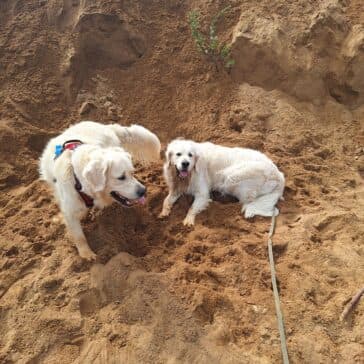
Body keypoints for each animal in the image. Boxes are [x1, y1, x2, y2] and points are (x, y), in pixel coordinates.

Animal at [38, 121, 161, 260]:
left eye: (132, 173)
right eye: (121, 177)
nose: (143, 191)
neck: (78, 181)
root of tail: (107, 126)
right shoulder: (70, 212)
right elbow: (79, 236)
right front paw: (86, 254)